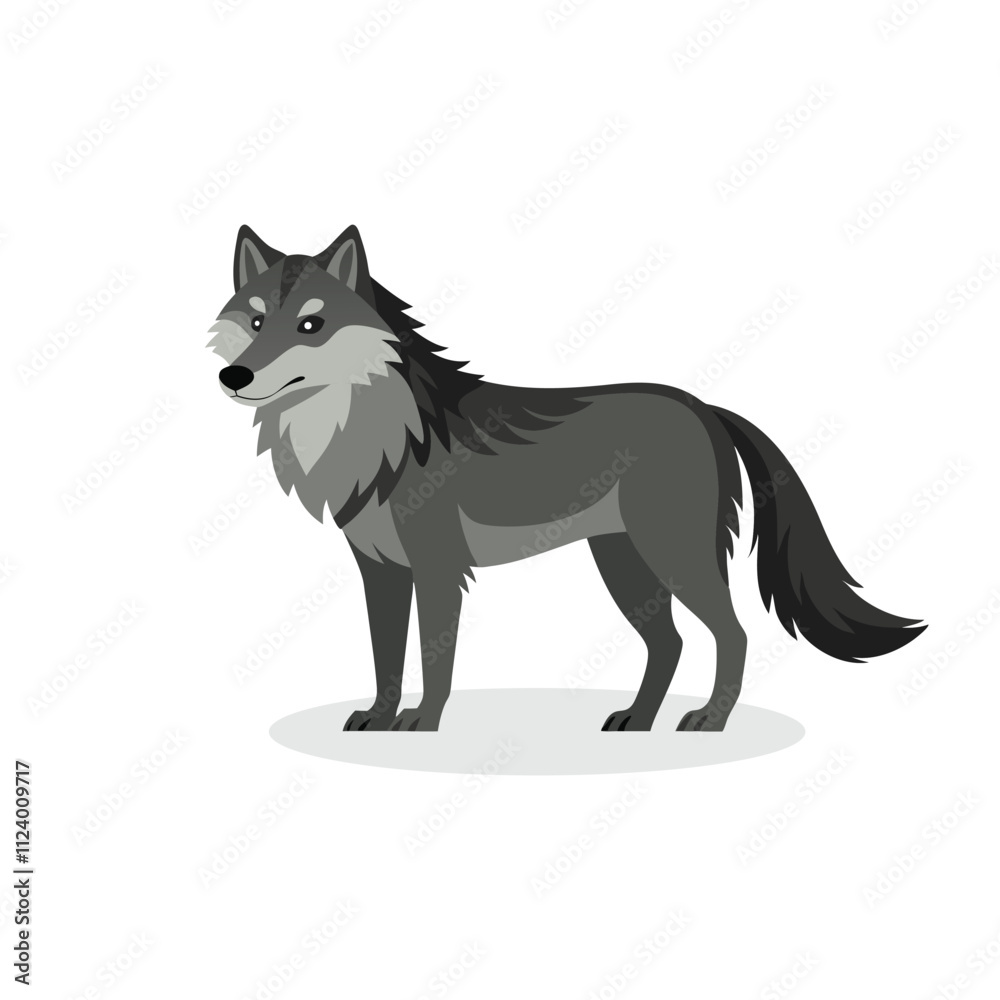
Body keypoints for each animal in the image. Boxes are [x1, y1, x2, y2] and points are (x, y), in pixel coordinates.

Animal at [209, 224, 926, 732]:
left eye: (311, 325)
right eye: (254, 321)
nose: (234, 376)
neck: (375, 434)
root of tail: (704, 407)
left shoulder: (438, 571)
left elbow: (435, 661)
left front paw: (422, 723)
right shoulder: (381, 572)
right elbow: (386, 658)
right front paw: (380, 718)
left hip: (673, 558)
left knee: (734, 634)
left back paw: (709, 720)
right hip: (625, 566)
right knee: (669, 644)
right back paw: (638, 720)